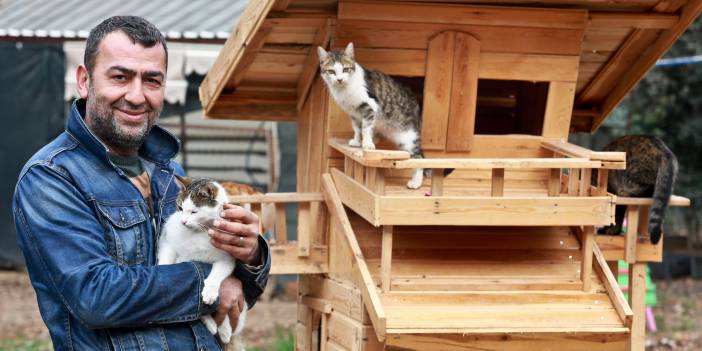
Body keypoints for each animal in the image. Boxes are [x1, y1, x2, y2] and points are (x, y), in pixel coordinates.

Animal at [318, 43, 434, 190]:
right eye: (331, 71)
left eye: (345, 69)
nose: (339, 79)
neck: (344, 90)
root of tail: (416, 104)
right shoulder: (353, 113)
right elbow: (357, 128)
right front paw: (357, 141)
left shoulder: (369, 106)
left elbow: (366, 128)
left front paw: (367, 144)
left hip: (409, 139)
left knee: (418, 159)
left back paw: (416, 182)